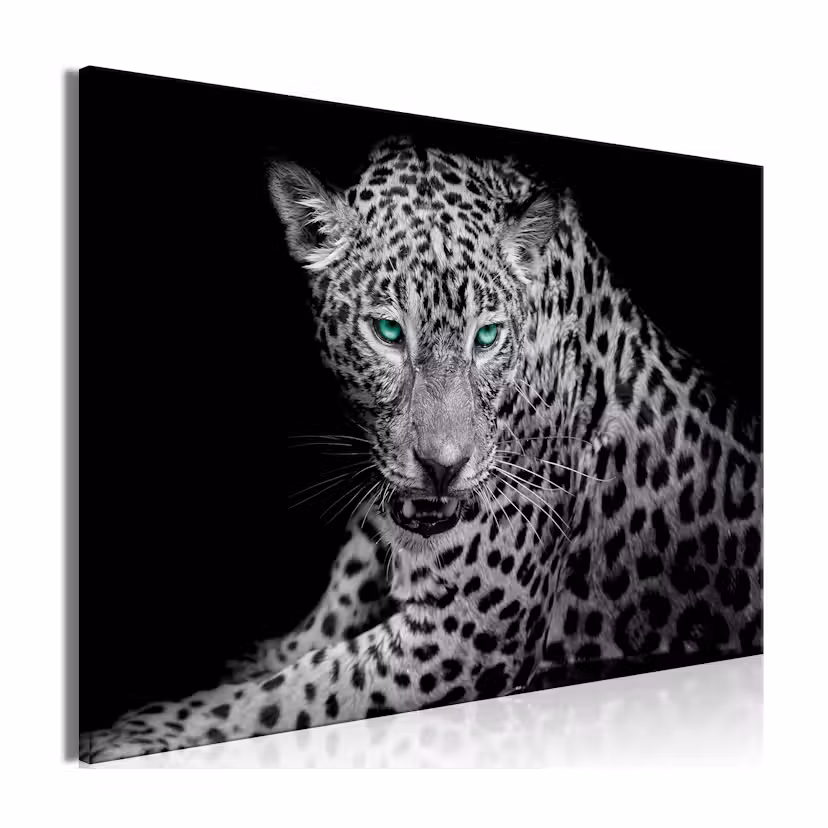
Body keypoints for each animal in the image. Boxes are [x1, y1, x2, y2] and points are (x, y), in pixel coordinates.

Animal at [80, 136, 762, 763]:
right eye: (388, 332)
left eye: (487, 337)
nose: (442, 468)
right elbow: (311, 634)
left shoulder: (466, 634)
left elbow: (288, 693)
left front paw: (141, 730)